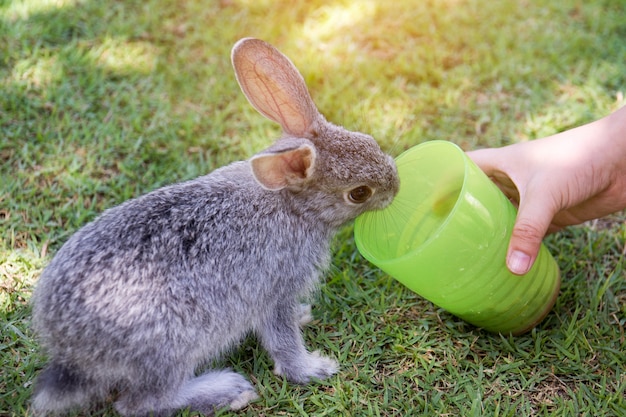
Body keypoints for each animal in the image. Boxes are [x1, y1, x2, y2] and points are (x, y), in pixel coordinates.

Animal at [29, 37, 398, 414]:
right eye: (359, 193)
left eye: (368, 141)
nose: (395, 186)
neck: (290, 204)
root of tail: (70, 354)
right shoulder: (275, 291)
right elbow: (283, 341)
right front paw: (313, 369)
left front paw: (302, 315)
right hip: (170, 347)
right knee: (140, 402)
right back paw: (229, 390)